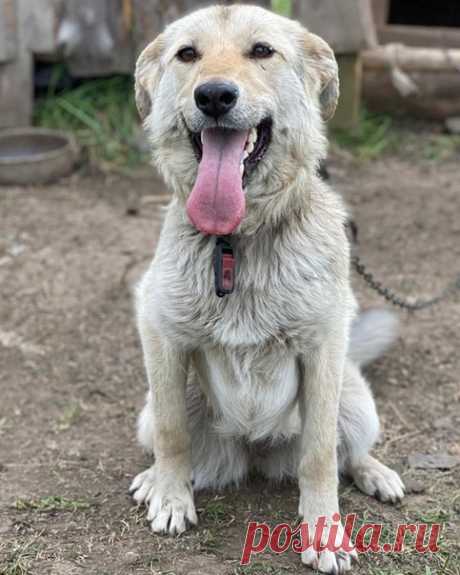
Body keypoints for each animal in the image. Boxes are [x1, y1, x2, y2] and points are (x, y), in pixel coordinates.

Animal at [128, 5, 402, 575]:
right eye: (187, 54)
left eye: (261, 51)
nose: (213, 96)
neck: (237, 240)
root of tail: (255, 449)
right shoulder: (160, 335)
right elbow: (171, 433)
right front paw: (170, 496)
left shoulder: (322, 351)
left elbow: (320, 456)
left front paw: (324, 532)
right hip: (153, 406)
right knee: (171, 436)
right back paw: (155, 480)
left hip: (355, 398)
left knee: (348, 451)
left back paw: (375, 473)